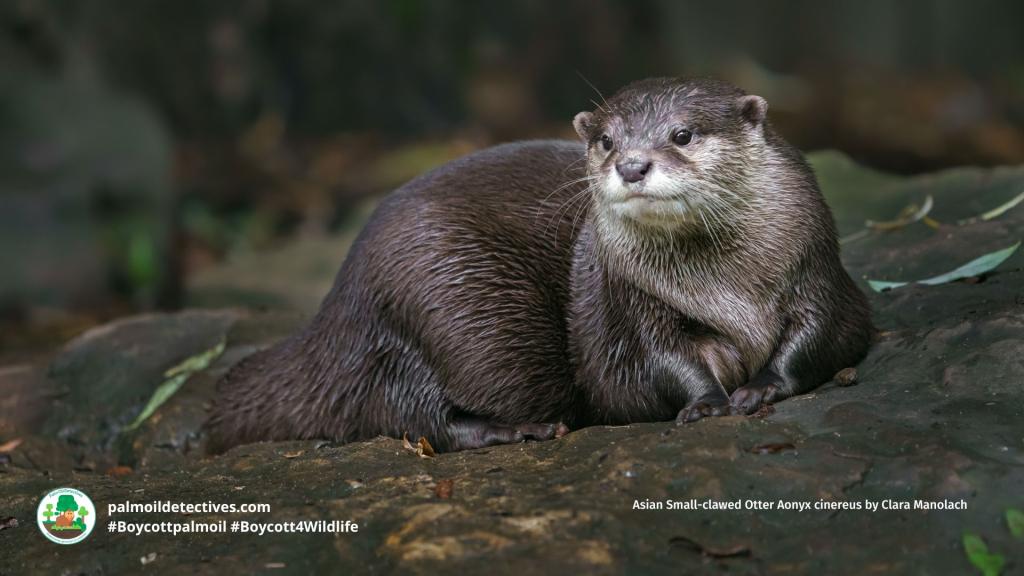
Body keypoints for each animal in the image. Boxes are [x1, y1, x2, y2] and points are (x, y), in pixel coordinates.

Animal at [206, 77, 873, 453]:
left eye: (683, 134)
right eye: (605, 139)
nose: (631, 164)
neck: (728, 288)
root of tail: (338, 304)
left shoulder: (817, 268)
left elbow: (822, 335)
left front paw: (761, 385)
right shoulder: (629, 305)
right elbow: (655, 362)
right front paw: (707, 400)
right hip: (445, 300)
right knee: (411, 417)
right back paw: (516, 430)